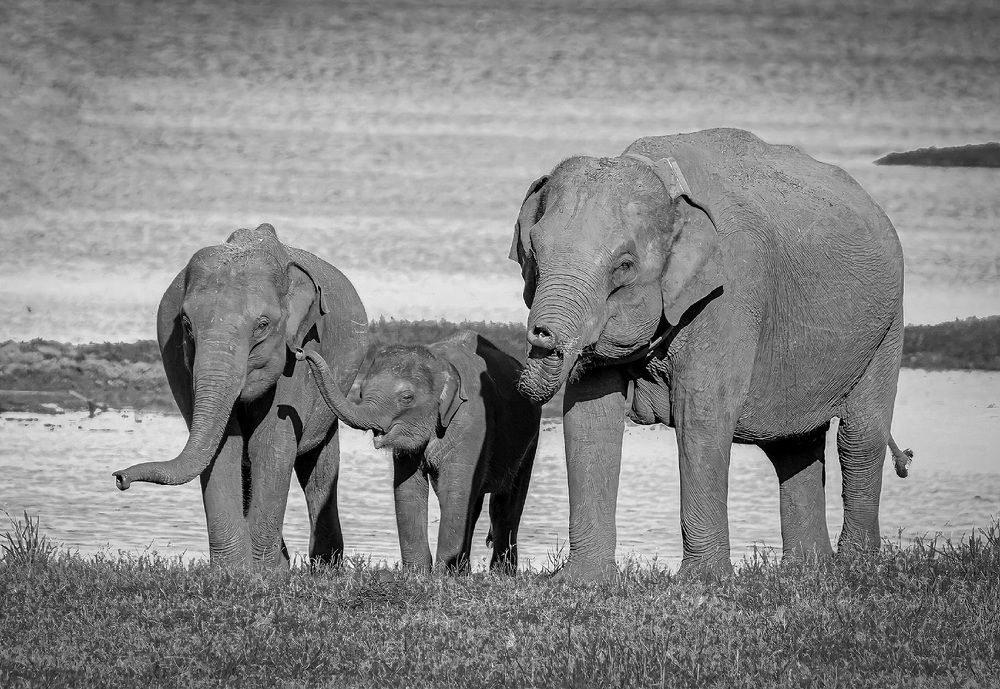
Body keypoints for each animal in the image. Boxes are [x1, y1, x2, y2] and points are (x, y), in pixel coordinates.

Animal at [112, 223, 369, 569]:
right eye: (186, 323)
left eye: (262, 325)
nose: (119, 477)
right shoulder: (179, 361)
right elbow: (224, 447)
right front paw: (233, 573)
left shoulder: (301, 347)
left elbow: (271, 445)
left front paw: (264, 575)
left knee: (319, 470)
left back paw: (324, 569)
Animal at [298, 330, 541, 573]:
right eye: (360, 392)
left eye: (407, 397)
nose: (301, 351)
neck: (442, 364)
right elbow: (408, 489)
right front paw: (418, 574)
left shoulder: (473, 421)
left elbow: (454, 489)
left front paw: (444, 575)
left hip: (530, 439)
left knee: (505, 504)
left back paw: (501, 572)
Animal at [509, 127, 912, 581]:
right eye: (533, 252)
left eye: (624, 266)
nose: (541, 334)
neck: (665, 181)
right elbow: (588, 415)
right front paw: (581, 581)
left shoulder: (729, 295)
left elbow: (701, 413)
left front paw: (701, 582)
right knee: (795, 445)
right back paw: (807, 570)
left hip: (886, 326)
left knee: (859, 437)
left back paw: (857, 565)